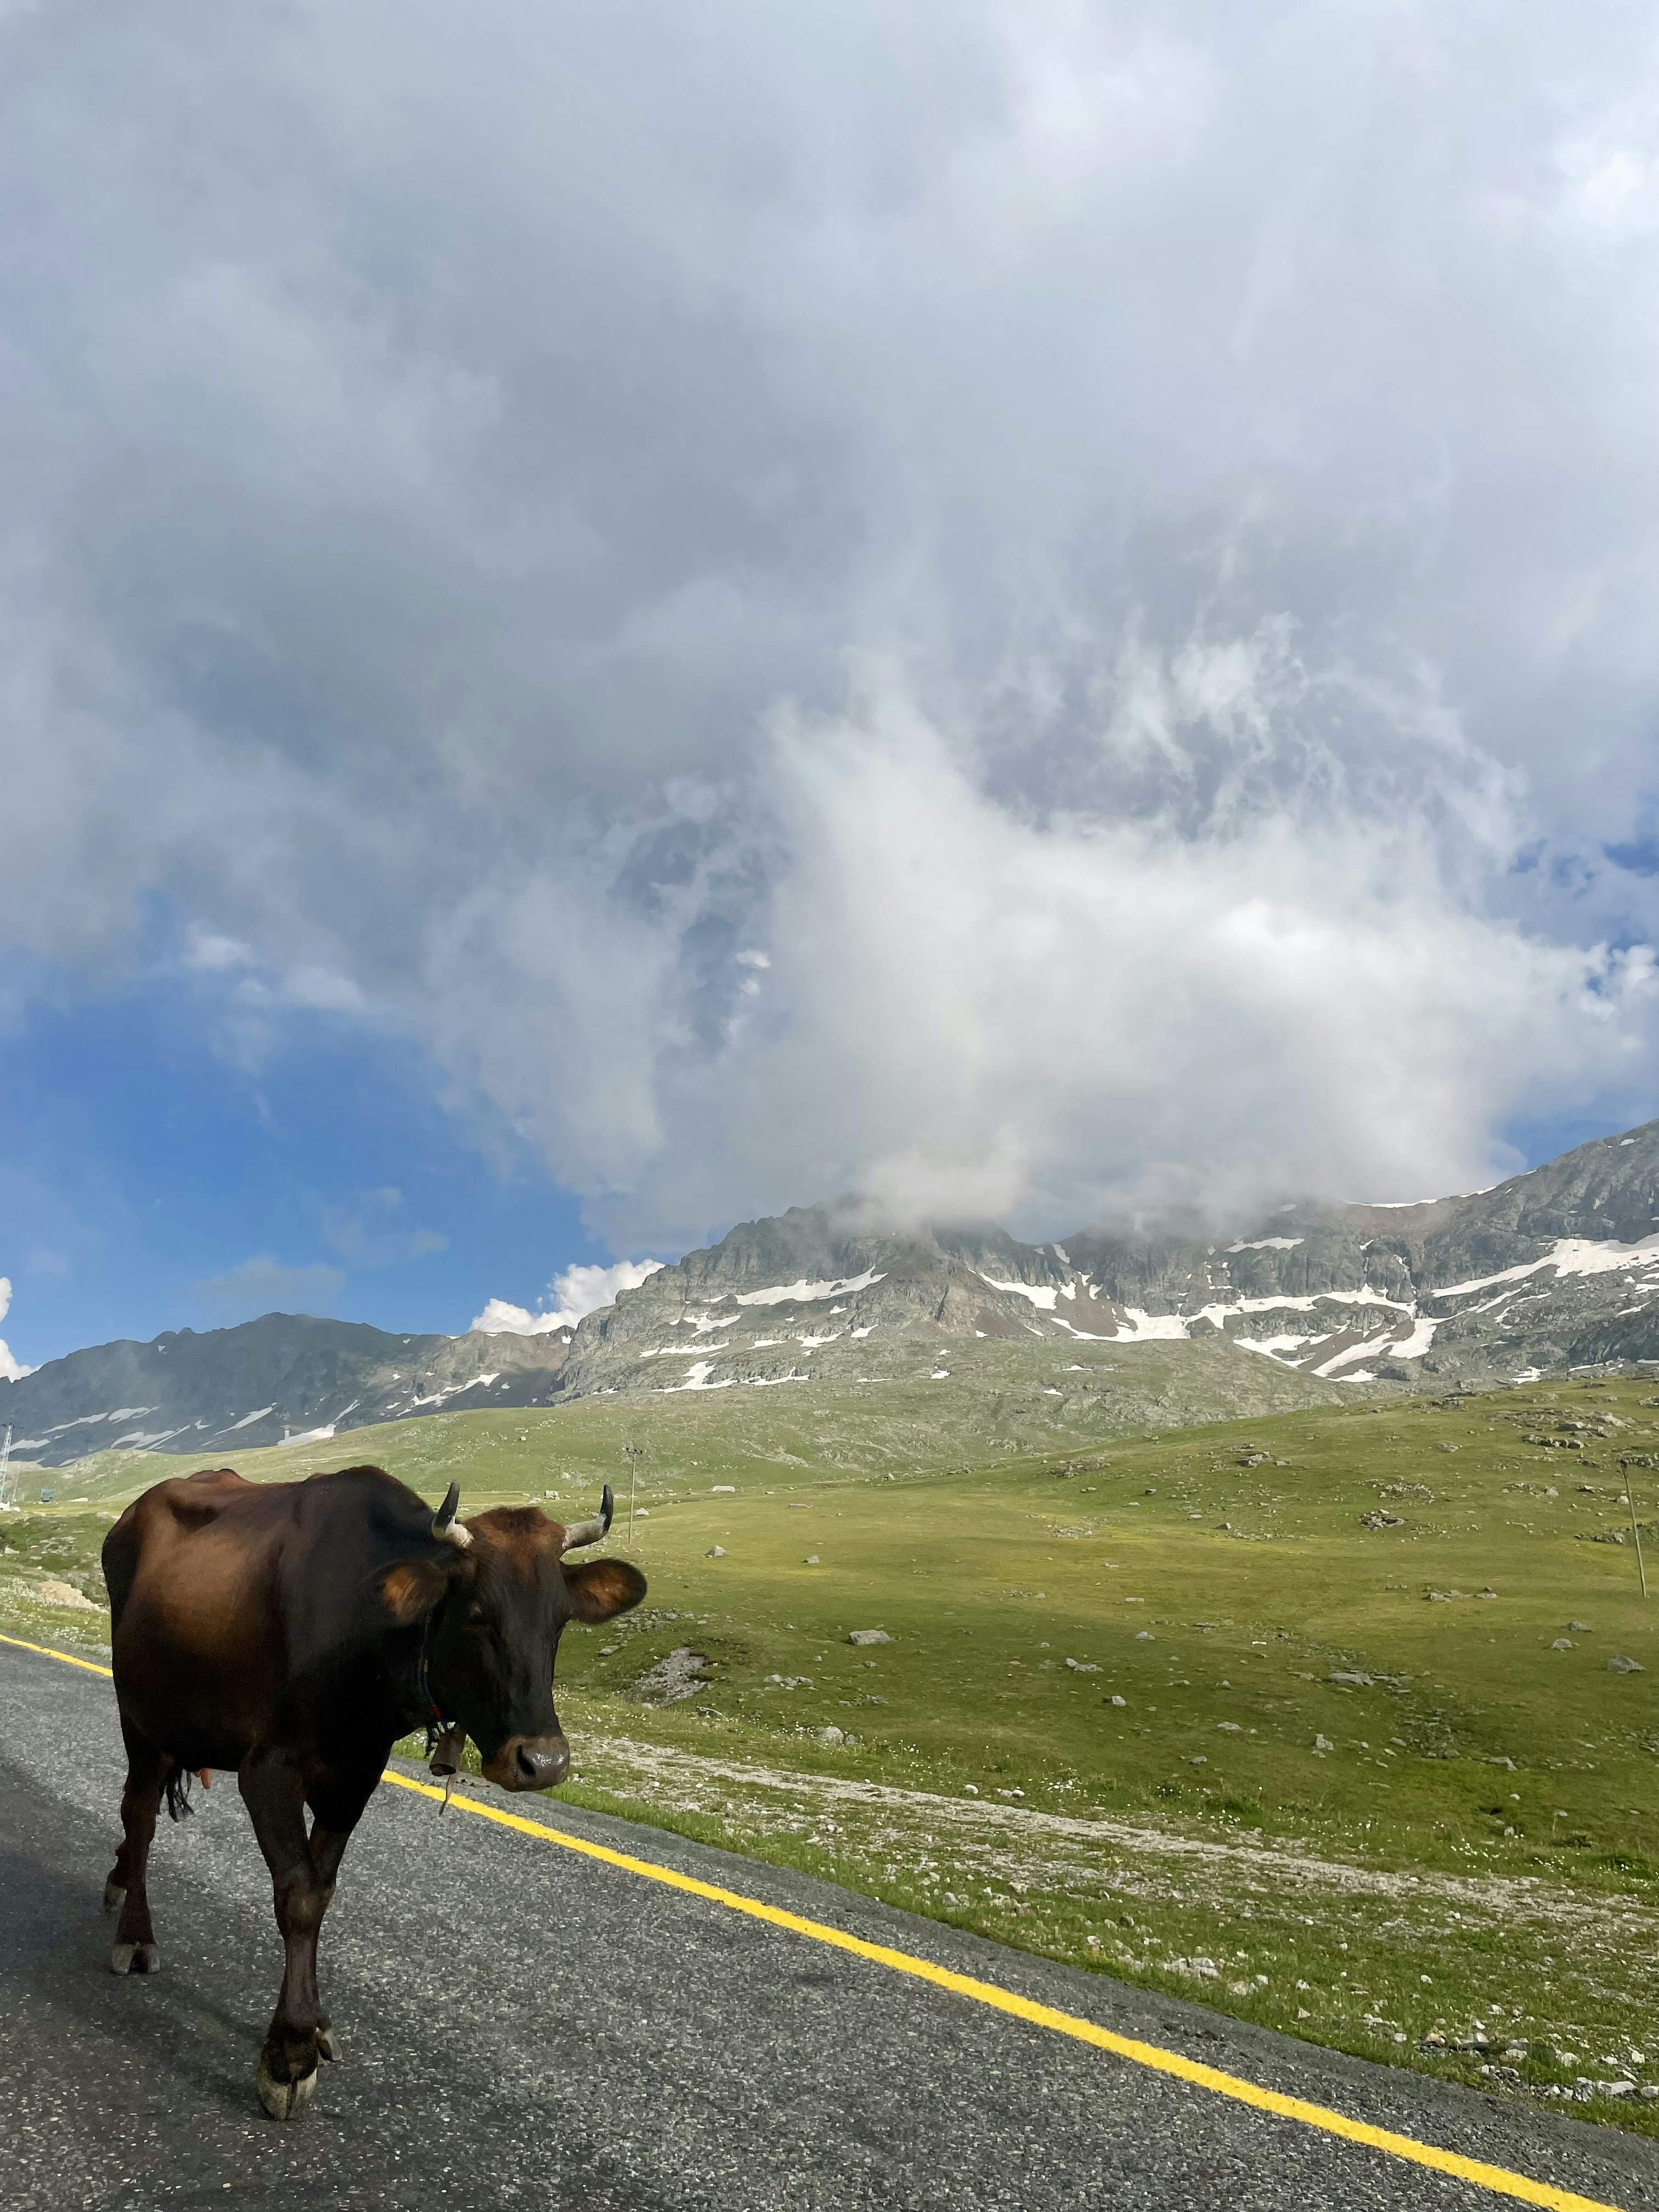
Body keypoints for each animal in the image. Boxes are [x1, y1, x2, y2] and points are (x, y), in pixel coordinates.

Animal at [100, 1462, 645, 2119]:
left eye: (559, 1621)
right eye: (476, 1614)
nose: (542, 1761)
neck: (368, 1645)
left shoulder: (356, 1775)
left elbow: (322, 1889)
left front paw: (315, 2023)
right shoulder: (269, 1769)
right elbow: (298, 1898)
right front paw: (288, 2055)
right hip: (140, 1717)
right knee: (140, 1816)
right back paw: (135, 1934)